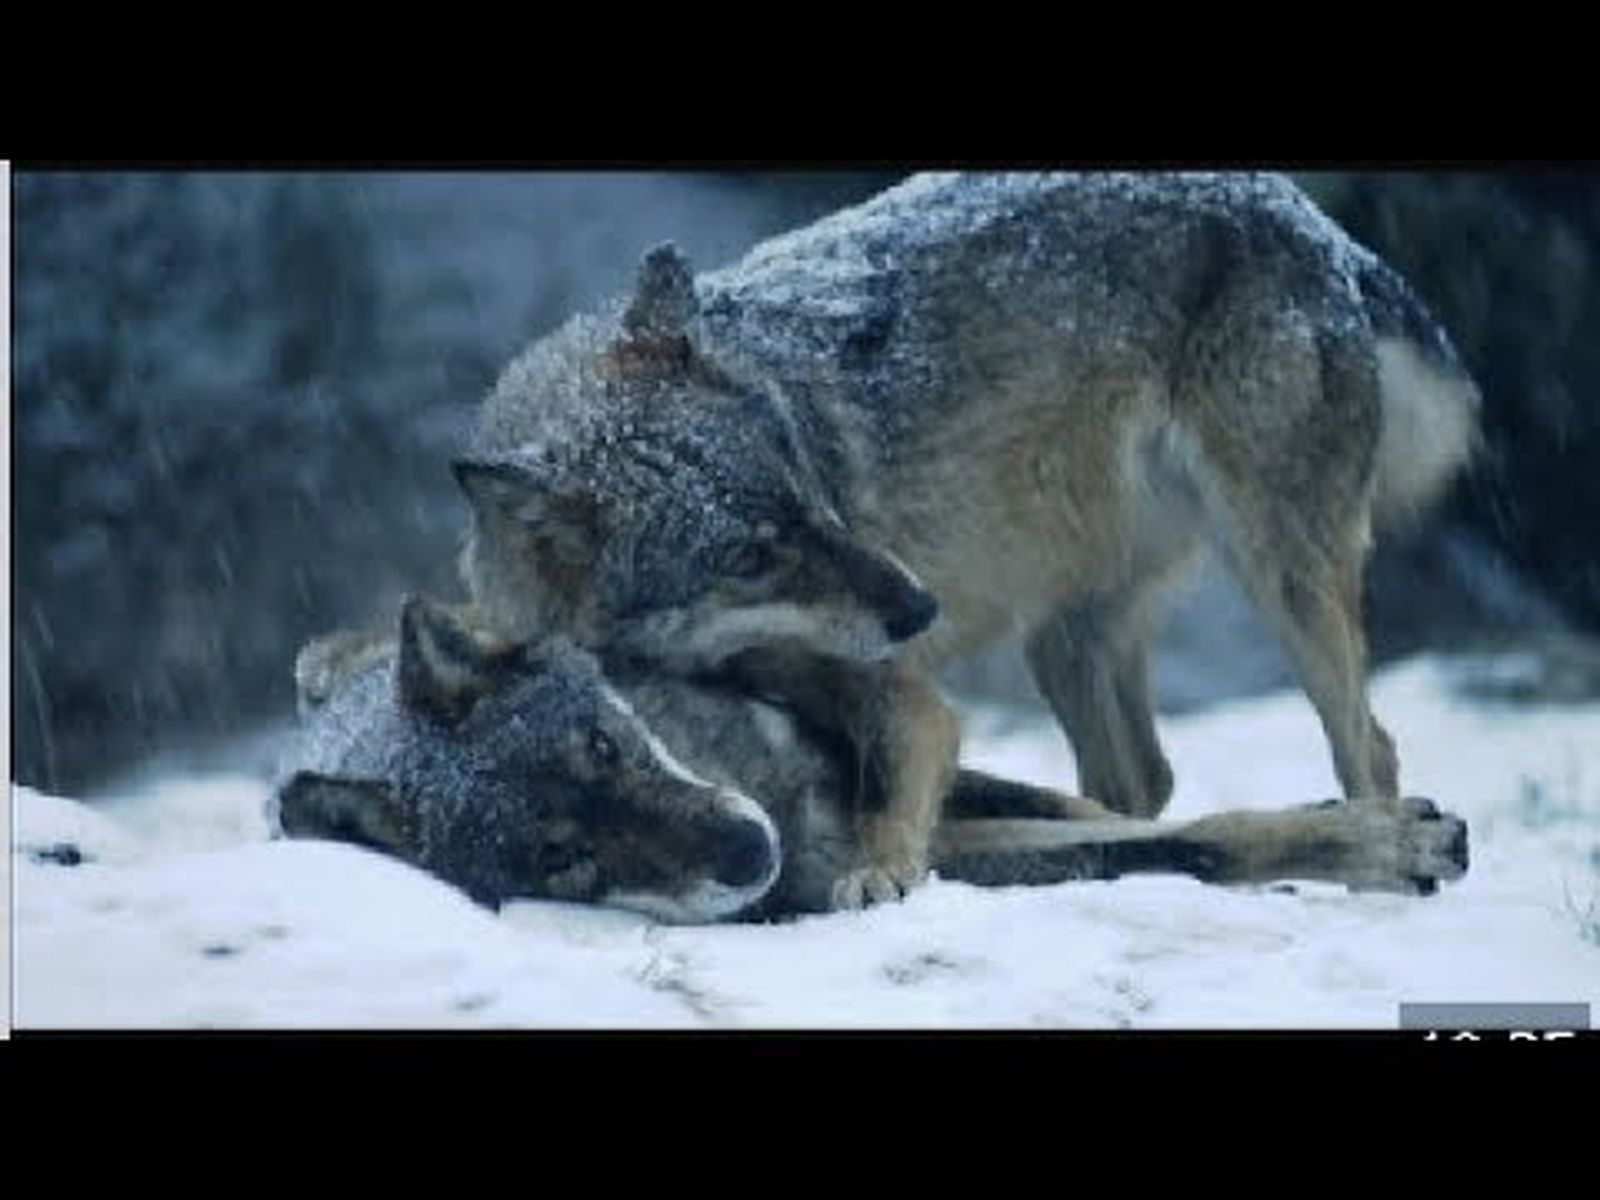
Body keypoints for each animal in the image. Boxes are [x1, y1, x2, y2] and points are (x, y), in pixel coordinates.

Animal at [274, 597, 1469, 921]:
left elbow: (1150, 825)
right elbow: (1175, 848)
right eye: (565, 859)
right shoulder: (934, 855)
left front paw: (1375, 835)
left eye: (607, 746)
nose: (742, 854)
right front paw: (1377, 846)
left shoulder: (886, 734)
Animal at [454, 172, 1480, 908]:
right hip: (1064, 635)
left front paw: (879, 873)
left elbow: (895, 792)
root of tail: (1306, 215)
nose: (920, 608)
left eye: (807, 487)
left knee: (1370, 745)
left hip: (1279, 577)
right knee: (1141, 779)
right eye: (747, 557)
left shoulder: (908, 698)